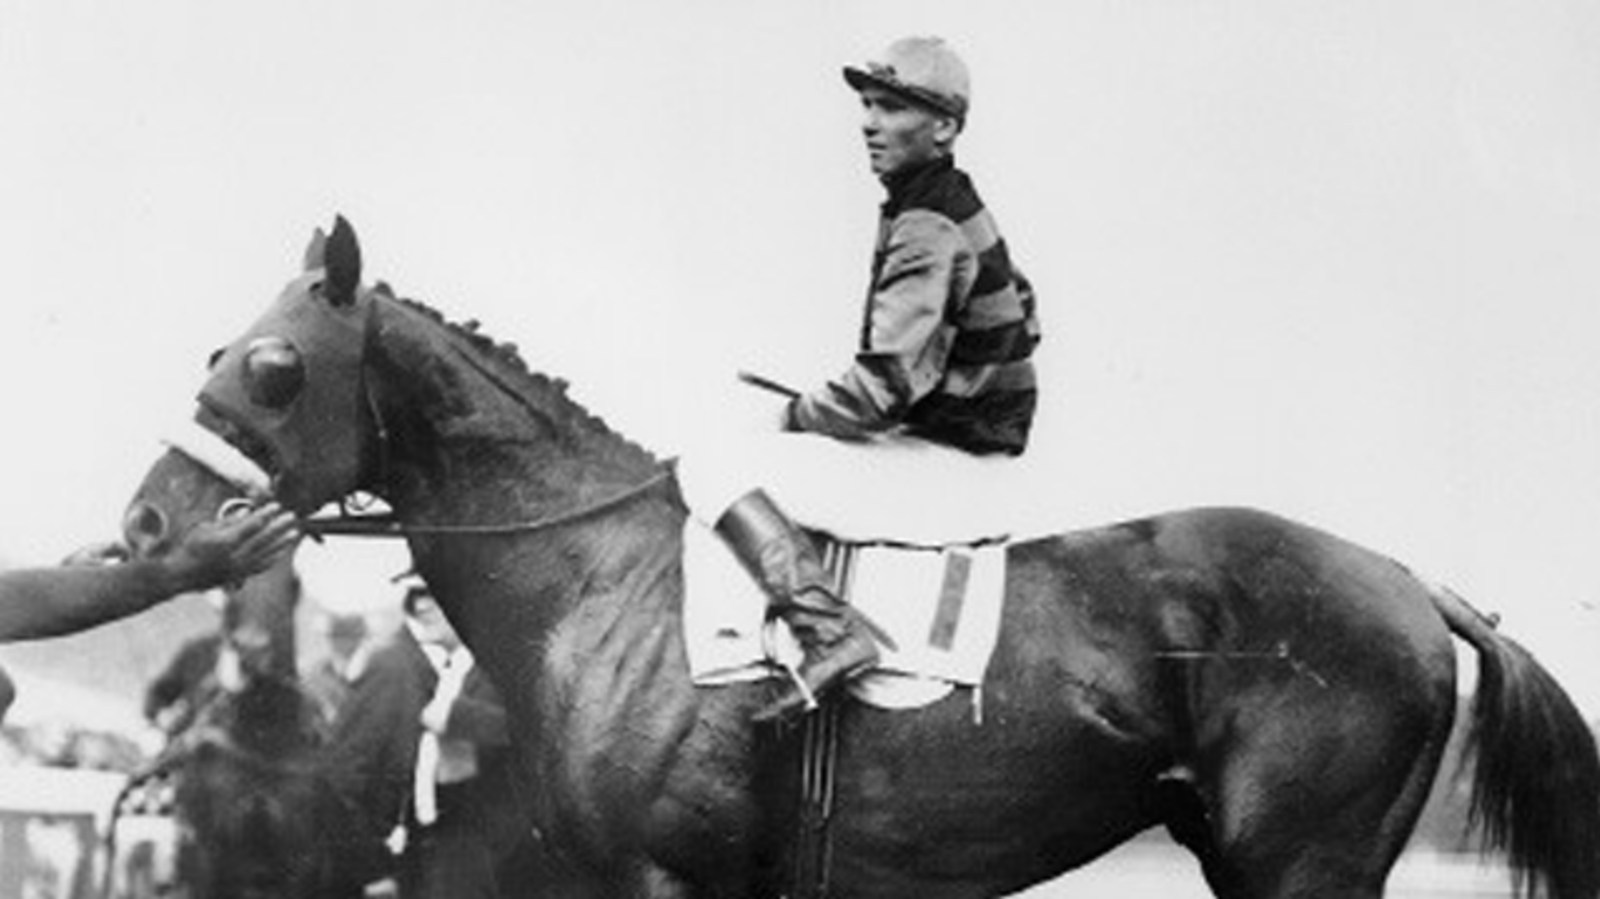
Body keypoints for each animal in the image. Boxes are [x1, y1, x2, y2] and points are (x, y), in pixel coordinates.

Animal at [121, 219, 1600, 895]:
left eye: (270, 367)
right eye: (214, 351)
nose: (144, 529)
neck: (603, 576)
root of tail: (1411, 580)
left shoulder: (667, 873)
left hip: (1304, 858)